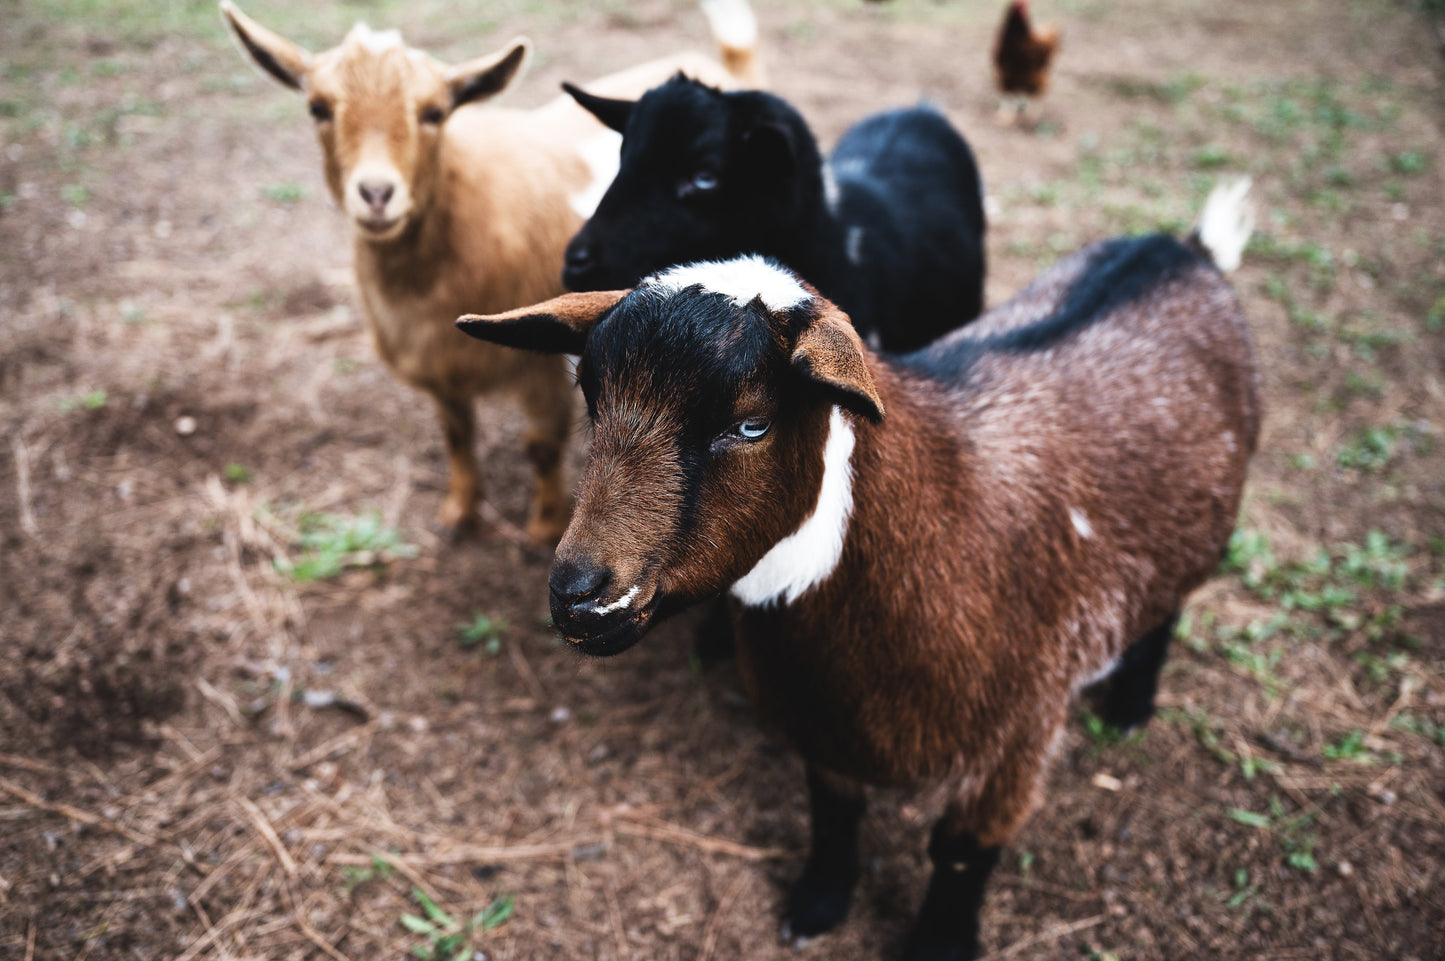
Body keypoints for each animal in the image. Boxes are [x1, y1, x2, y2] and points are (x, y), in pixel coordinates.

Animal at [220, 0, 761, 541]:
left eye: (434, 113)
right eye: (318, 108)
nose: (375, 194)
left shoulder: (542, 366)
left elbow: (540, 446)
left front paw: (543, 525)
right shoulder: (441, 367)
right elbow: (457, 435)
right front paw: (460, 510)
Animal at [455, 178, 1258, 959]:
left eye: (752, 422)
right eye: (592, 400)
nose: (577, 595)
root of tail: (1181, 250)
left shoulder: (1020, 731)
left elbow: (961, 851)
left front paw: (938, 944)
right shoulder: (822, 718)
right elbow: (833, 812)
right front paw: (817, 905)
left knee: (1171, 604)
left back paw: (1130, 705)